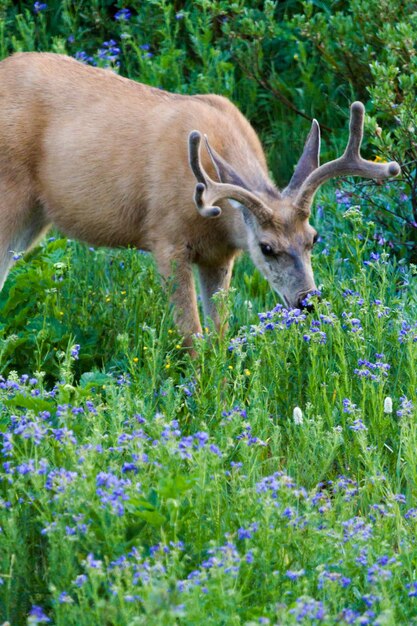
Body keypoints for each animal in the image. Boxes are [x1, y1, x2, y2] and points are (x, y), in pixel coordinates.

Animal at [0, 51, 400, 346]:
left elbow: (220, 333)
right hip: (10, 197)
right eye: (266, 247)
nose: (308, 301)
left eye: (313, 238)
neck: (217, 219)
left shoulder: (219, 256)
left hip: (35, 218)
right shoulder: (165, 239)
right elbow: (190, 334)